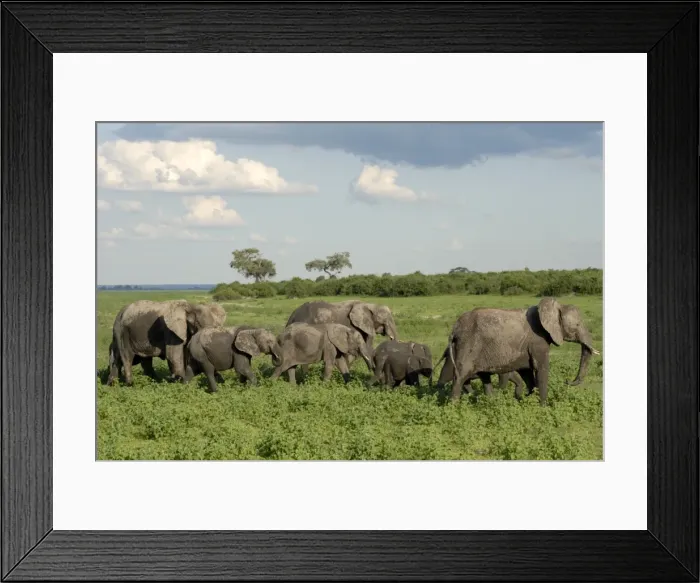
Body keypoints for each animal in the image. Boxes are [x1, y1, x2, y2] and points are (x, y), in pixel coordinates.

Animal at [435, 297, 601, 406]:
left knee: (484, 377)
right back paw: (453, 408)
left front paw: (527, 401)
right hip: (468, 344)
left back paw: (491, 403)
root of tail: (454, 328)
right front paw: (543, 407)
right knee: (460, 376)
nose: (567, 381)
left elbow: (527, 372)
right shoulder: (538, 340)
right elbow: (541, 369)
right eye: (577, 325)